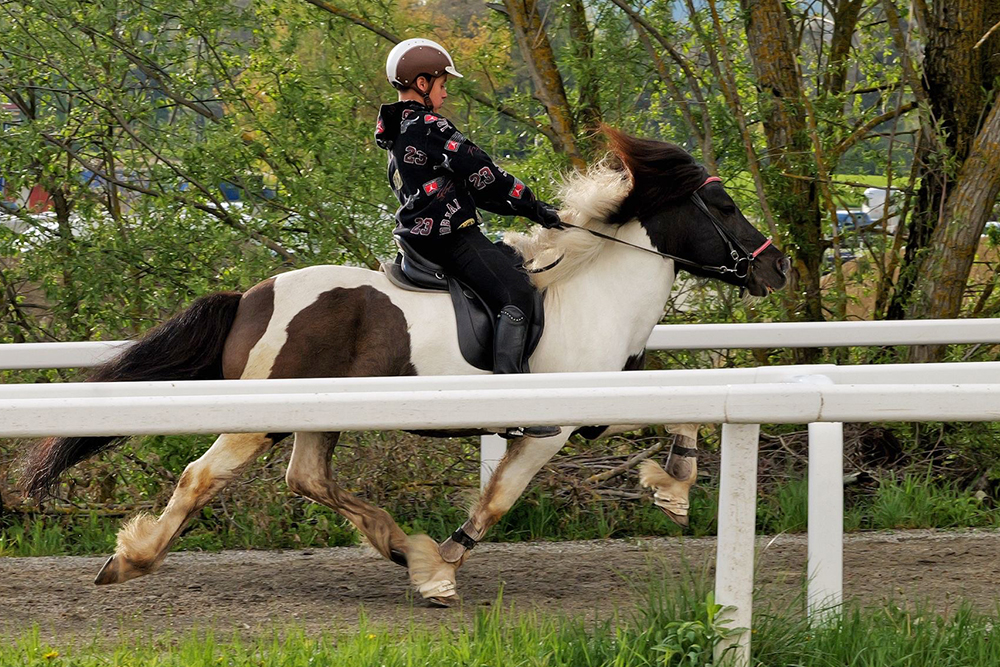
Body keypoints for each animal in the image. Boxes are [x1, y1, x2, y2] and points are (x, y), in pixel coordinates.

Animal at [17, 128, 788, 608]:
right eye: (723, 204)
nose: (775, 268)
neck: (591, 293)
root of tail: (251, 297)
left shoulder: (606, 402)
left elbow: (687, 416)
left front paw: (673, 489)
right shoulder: (550, 430)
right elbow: (496, 502)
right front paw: (441, 566)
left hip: (317, 417)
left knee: (308, 478)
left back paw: (395, 544)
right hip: (259, 419)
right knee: (203, 477)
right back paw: (133, 558)